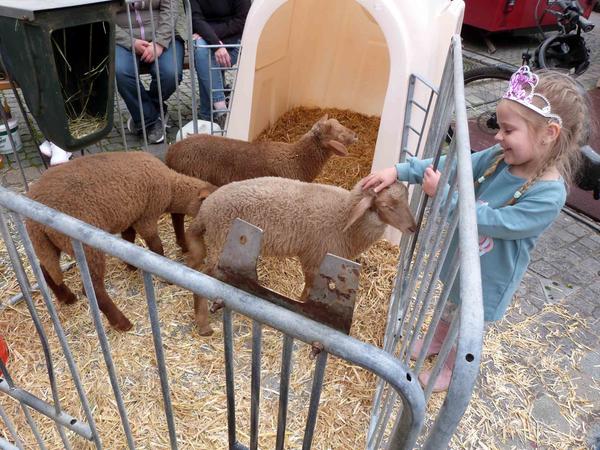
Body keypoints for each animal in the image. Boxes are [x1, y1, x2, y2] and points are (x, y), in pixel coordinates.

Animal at [27, 151, 218, 330]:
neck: (171, 188)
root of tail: (34, 224)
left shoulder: (131, 216)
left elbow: (128, 239)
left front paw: (130, 265)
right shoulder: (146, 216)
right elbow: (156, 246)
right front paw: (164, 271)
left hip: (50, 244)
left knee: (46, 269)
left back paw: (67, 297)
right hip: (86, 246)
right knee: (92, 288)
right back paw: (122, 323)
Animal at [164, 114, 358, 251]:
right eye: (338, 133)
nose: (356, 135)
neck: (296, 159)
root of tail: (171, 152)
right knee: (177, 215)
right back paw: (183, 244)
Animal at [185, 176, 414, 334]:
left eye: (406, 200)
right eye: (386, 206)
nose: (413, 228)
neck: (345, 215)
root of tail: (206, 209)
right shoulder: (315, 257)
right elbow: (310, 287)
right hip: (221, 241)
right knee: (202, 277)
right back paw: (203, 324)